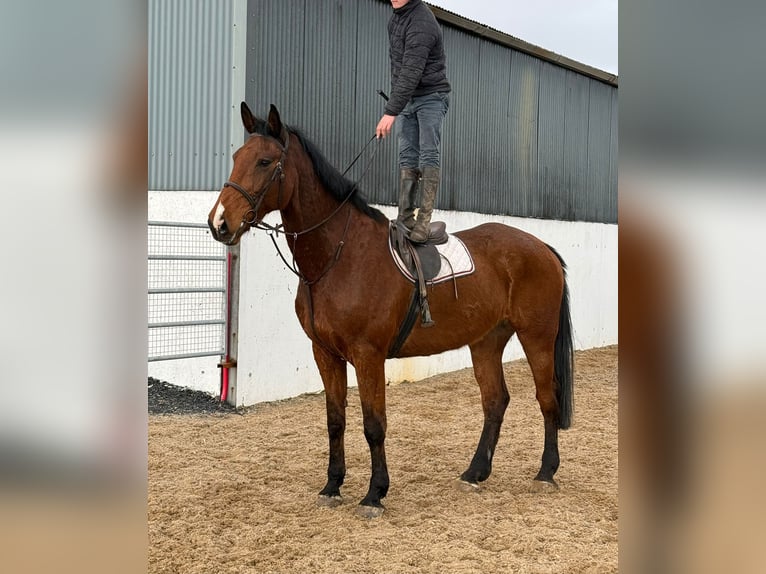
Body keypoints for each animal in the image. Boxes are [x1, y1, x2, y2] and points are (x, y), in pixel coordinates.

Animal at [208, 103, 574, 518]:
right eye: (237, 157)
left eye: (265, 161)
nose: (219, 222)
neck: (339, 256)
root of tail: (543, 247)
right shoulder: (325, 353)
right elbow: (335, 421)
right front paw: (332, 485)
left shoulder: (368, 355)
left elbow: (373, 424)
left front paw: (375, 493)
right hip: (486, 341)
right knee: (495, 401)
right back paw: (475, 472)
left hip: (537, 337)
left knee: (547, 398)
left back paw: (546, 472)